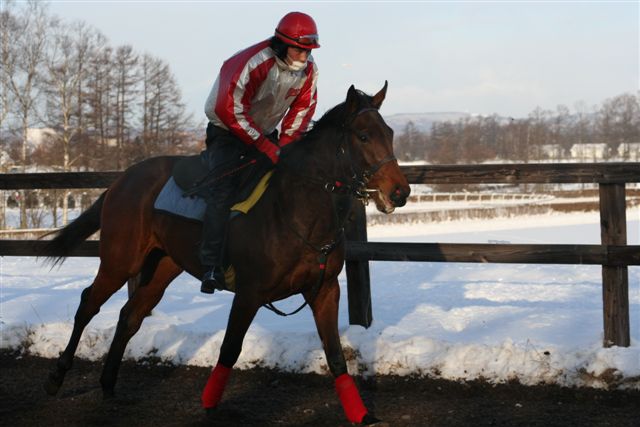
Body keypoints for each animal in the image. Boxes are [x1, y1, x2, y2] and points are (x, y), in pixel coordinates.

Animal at [41, 82, 410, 426]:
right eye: (363, 136)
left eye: (390, 133)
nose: (400, 192)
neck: (295, 210)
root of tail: (122, 179)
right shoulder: (249, 293)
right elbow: (230, 348)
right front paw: (209, 404)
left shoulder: (324, 290)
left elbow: (335, 355)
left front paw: (361, 414)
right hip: (120, 261)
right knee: (88, 304)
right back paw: (56, 377)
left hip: (163, 266)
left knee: (130, 315)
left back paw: (107, 383)